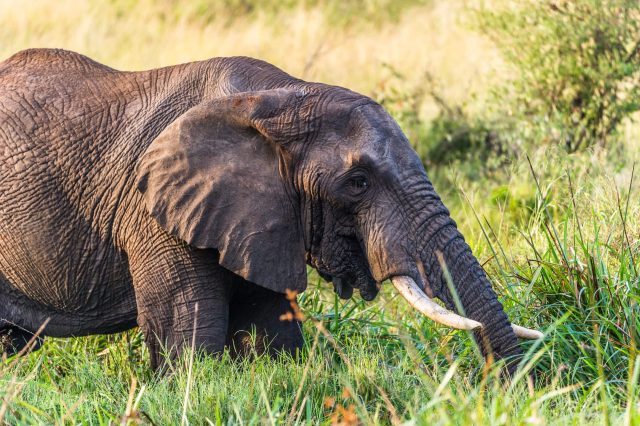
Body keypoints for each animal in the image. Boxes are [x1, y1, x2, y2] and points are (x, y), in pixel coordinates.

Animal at [0, 48, 541, 371]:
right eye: (358, 183)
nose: (512, 389)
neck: (279, 98)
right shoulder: (154, 216)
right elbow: (186, 341)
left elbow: (269, 333)